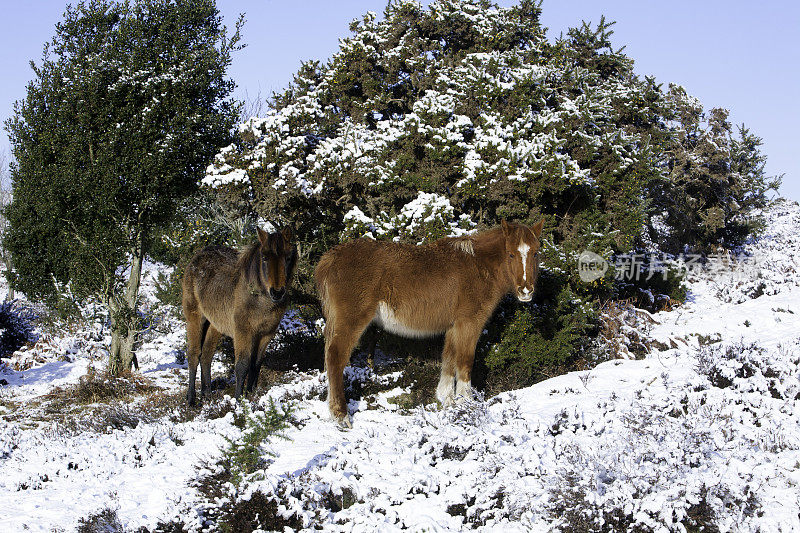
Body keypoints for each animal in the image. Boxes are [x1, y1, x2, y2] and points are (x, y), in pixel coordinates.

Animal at [181, 227, 296, 406]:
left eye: (288, 257)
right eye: (264, 257)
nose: (277, 292)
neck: (259, 298)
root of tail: (197, 257)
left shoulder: (266, 334)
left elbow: (256, 364)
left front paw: (251, 394)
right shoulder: (243, 332)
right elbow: (242, 365)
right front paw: (238, 401)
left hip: (215, 324)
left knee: (206, 356)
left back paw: (207, 394)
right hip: (195, 318)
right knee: (194, 355)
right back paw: (191, 399)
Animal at [314, 218, 544, 426]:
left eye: (535, 253)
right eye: (511, 253)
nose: (526, 291)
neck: (479, 265)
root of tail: (330, 258)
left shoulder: (453, 326)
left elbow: (449, 359)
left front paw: (447, 401)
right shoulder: (469, 323)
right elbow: (465, 361)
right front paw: (467, 404)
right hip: (351, 320)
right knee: (335, 357)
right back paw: (341, 416)